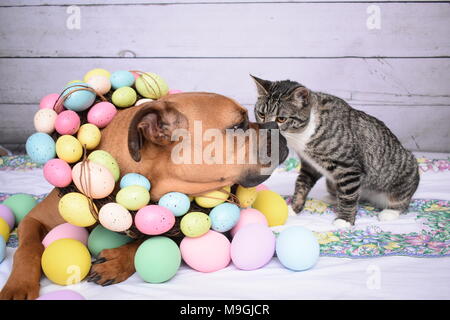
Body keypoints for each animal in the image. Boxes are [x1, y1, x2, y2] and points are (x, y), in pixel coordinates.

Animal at [0, 92, 288, 300]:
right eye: (238, 125)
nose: (278, 129)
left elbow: (157, 236)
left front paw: (117, 260)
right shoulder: (34, 219)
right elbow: (28, 248)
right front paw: (18, 285)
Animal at [251, 75, 420, 228]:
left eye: (281, 119)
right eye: (261, 114)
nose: (267, 130)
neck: (302, 135)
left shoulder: (348, 167)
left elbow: (349, 196)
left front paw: (344, 220)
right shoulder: (309, 165)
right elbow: (301, 184)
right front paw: (294, 208)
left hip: (406, 170)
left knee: (401, 200)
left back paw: (390, 212)